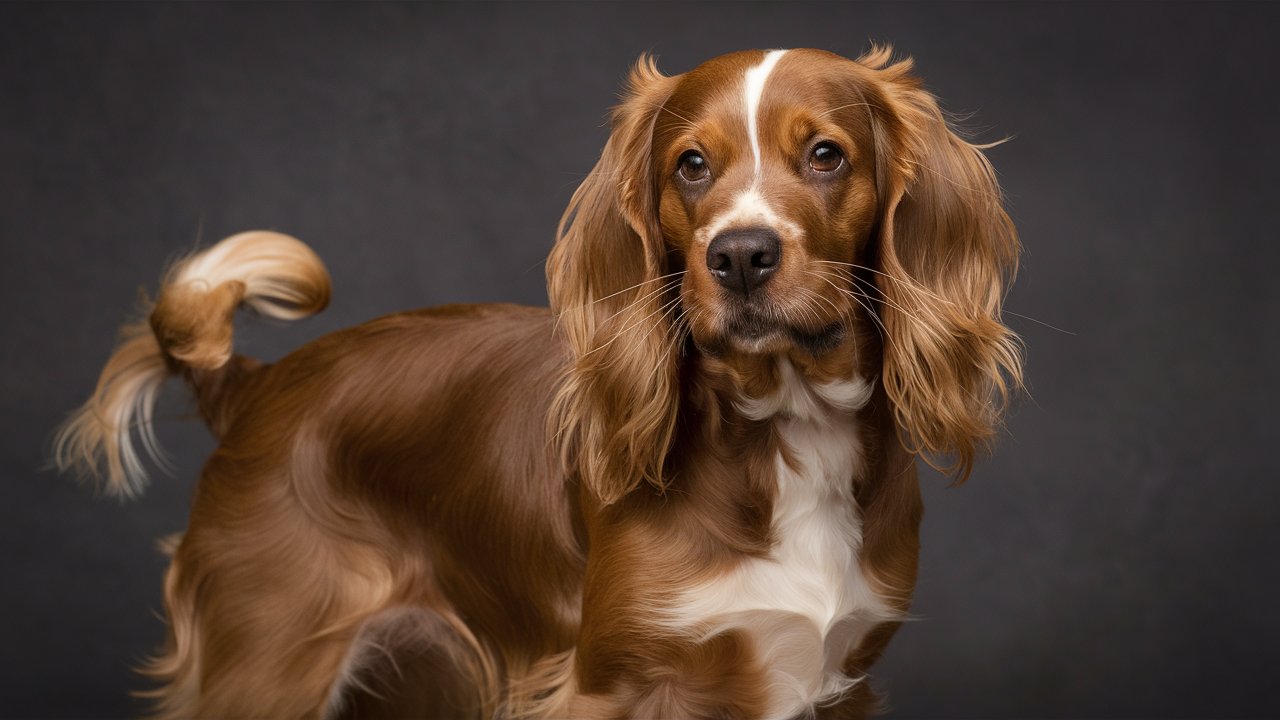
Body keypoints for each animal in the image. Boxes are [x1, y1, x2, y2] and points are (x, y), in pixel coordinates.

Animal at [55, 46, 1024, 717]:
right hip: (267, 661)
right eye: (690, 165)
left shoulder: (839, 681)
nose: (741, 255)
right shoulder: (612, 681)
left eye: (827, 155)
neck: (786, 429)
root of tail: (259, 384)